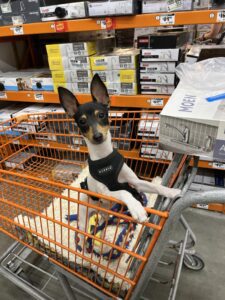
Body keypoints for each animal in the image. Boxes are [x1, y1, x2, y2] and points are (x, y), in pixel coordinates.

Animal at [58, 75, 181, 227]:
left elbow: (156, 187)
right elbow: (124, 192)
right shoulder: (105, 191)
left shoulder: (135, 182)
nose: (98, 136)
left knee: (104, 219)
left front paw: (172, 191)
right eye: (82, 121)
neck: (103, 156)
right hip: (83, 218)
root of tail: (97, 209)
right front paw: (137, 208)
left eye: (101, 115)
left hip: (105, 211)